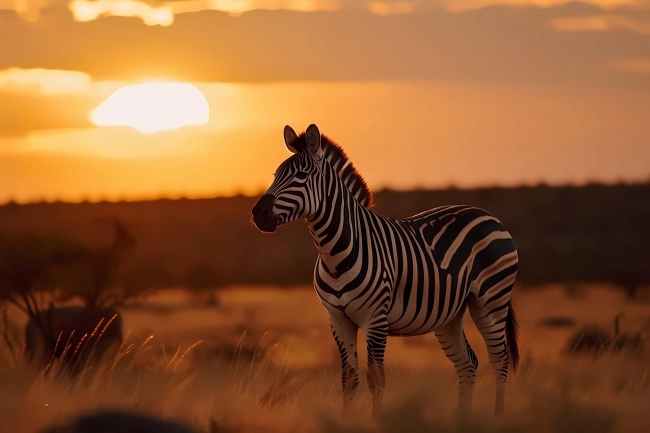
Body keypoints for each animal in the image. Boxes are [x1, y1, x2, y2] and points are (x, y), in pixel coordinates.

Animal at [251, 123, 520, 414]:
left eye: (301, 175)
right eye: (276, 175)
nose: (257, 213)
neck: (334, 255)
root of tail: (488, 215)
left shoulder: (375, 319)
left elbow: (376, 378)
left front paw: (378, 419)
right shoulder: (338, 321)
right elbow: (349, 379)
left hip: (491, 301)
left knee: (500, 362)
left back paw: (497, 416)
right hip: (449, 315)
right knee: (468, 363)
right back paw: (464, 419)